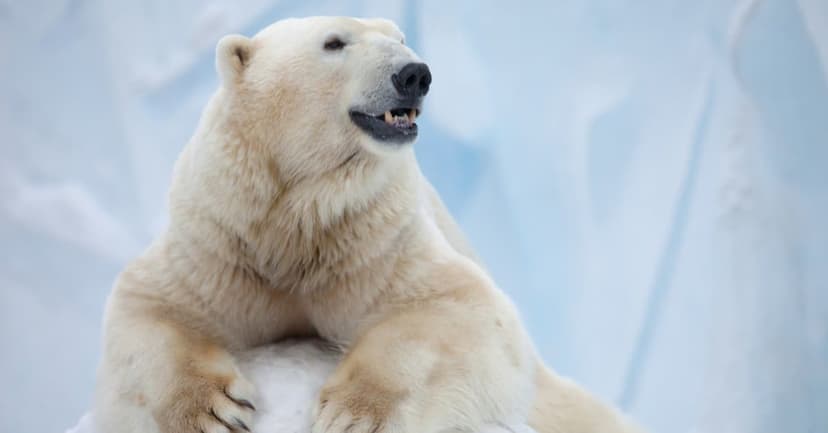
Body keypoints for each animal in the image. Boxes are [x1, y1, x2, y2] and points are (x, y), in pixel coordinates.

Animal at [94, 16, 642, 433]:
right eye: (334, 42)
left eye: (399, 37)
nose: (415, 73)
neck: (299, 213)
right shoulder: (220, 238)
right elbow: (152, 307)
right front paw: (213, 411)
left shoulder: (375, 239)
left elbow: (454, 308)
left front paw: (352, 415)